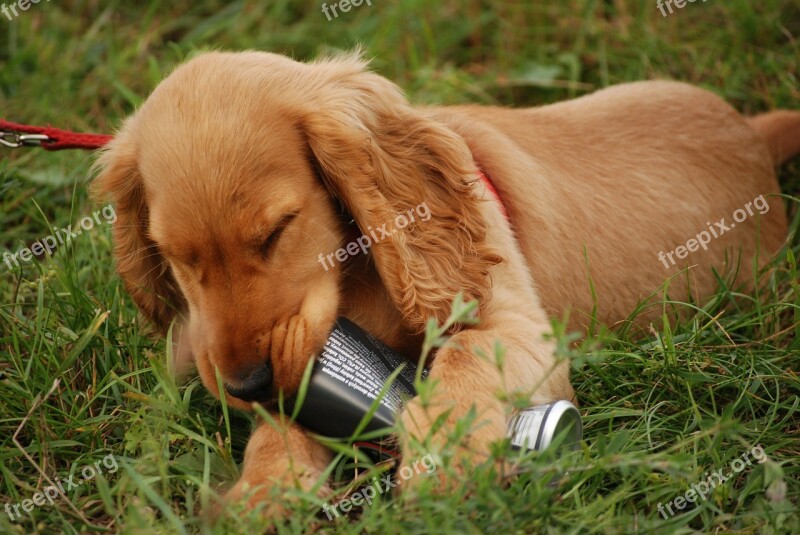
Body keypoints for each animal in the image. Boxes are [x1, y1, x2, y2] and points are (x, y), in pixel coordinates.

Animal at [90, 51, 796, 516]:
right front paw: (262, 495)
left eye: (277, 231)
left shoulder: (518, 326)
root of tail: (753, 137)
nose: (245, 386)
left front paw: (446, 460)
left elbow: (466, 355)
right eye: (174, 257)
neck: (357, 274)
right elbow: (283, 426)